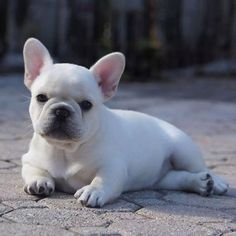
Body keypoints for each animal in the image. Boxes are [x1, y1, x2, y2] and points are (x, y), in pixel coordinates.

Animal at [22, 38, 229, 206]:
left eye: (87, 104)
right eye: (41, 97)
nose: (62, 111)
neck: (66, 150)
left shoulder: (113, 166)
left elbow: (102, 179)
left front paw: (92, 191)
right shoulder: (29, 160)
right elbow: (34, 170)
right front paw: (39, 181)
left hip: (184, 151)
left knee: (200, 168)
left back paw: (215, 183)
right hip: (161, 179)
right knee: (177, 178)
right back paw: (200, 183)